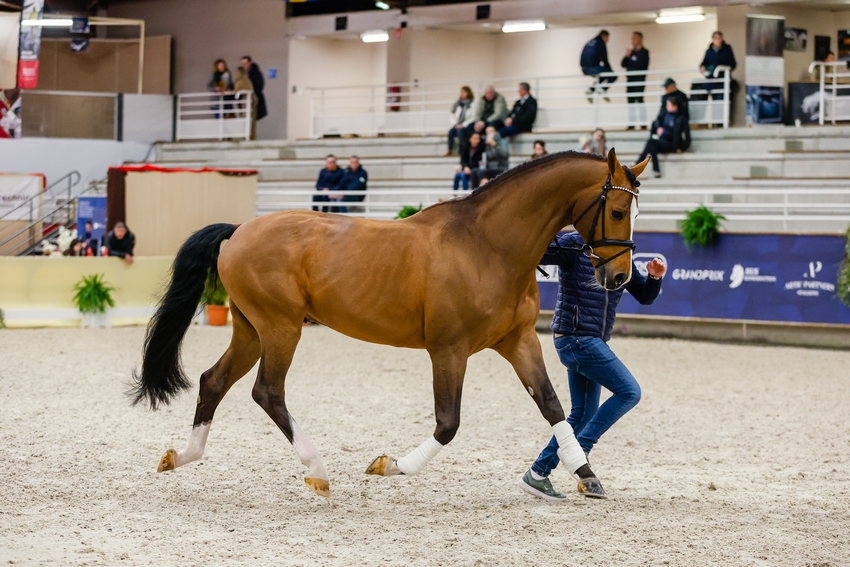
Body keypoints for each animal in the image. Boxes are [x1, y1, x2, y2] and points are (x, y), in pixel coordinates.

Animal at [131, 149, 649, 500]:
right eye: (618, 211)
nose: (620, 277)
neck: (487, 245)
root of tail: (238, 231)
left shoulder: (518, 341)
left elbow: (552, 406)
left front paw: (588, 477)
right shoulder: (449, 350)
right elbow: (448, 423)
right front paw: (389, 465)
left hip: (251, 331)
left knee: (213, 381)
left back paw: (181, 457)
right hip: (281, 328)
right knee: (268, 392)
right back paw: (317, 472)